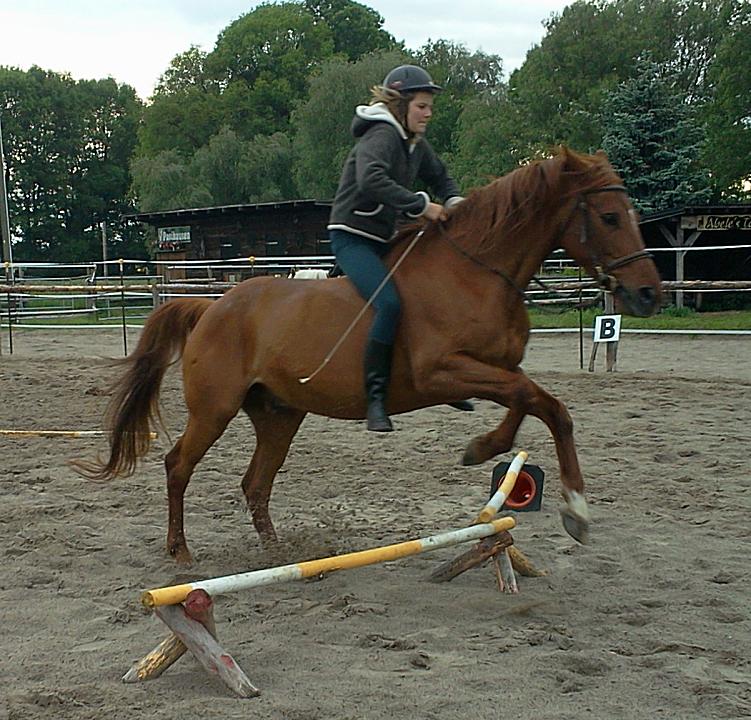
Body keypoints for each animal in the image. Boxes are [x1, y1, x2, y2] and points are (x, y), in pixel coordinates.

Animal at [79, 146, 660, 564]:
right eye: (610, 217)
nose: (649, 293)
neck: (474, 272)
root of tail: (211, 306)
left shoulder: (494, 370)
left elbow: (541, 405)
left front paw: (537, 483)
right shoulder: (443, 373)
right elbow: (533, 399)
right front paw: (514, 468)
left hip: (279, 415)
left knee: (255, 483)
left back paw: (277, 552)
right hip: (214, 411)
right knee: (178, 466)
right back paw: (180, 551)